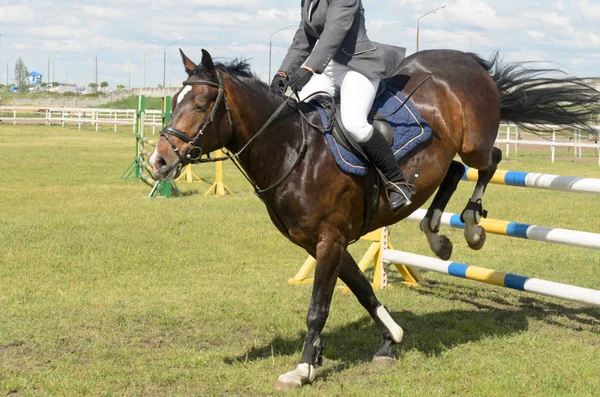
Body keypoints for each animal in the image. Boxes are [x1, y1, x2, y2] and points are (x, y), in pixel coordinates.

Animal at [148, 48, 596, 386]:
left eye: (201, 104)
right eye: (173, 103)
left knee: (489, 162)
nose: (158, 161)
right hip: (447, 156)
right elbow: (363, 289)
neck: (294, 150)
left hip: (475, 143)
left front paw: (304, 367)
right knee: (453, 171)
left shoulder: (329, 239)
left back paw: (470, 226)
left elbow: (318, 307)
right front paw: (389, 341)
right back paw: (437, 235)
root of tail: (468, 61)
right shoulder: (321, 243)